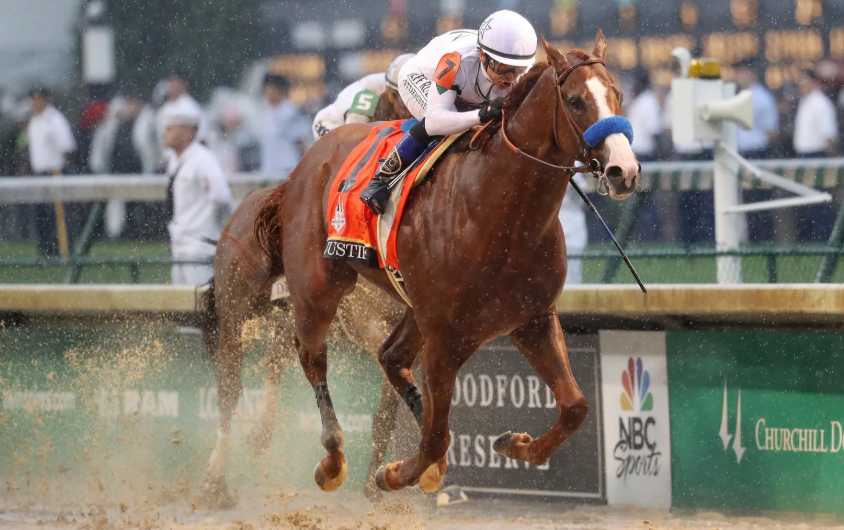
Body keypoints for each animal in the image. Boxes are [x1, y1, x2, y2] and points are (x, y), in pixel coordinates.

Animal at [195, 91, 414, 508]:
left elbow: (387, 411)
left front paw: (376, 487)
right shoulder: (367, 323)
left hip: (289, 317)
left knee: (275, 356)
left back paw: (261, 436)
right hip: (235, 317)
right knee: (229, 392)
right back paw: (215, 482)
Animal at [253, 33, 640, 494]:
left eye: (618, 95)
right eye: (577, 101)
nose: (624, 171)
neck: (503, 216)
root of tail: (307, 161)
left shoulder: (533, 320)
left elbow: (575, 406)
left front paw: (516, 445)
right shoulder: (445, 339)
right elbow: (435, 440)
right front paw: (393, 474)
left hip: (413, 306)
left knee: (390, 356)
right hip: (318, 289)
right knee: (312, 355)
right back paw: (332, 459)